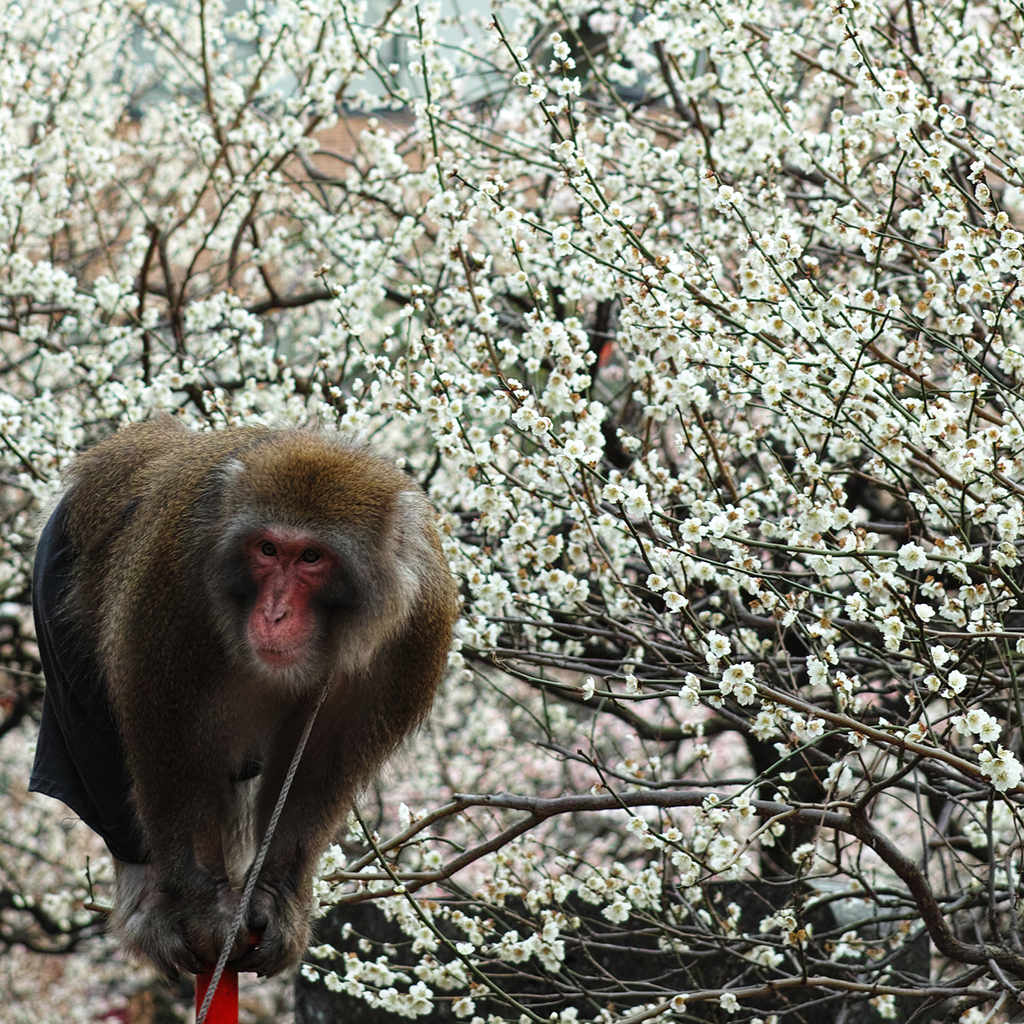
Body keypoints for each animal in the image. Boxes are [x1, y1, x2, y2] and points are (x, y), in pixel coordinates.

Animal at [29, 415, 460, 974]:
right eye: (268, 549)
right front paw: (204, 903)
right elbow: (169, 732)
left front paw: (274, 893)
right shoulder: (170, 578)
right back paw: (150, 897)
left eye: (312, 557)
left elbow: (322, 762)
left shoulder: (414, 632)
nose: (274, 613)